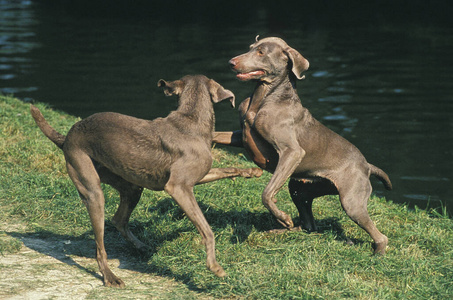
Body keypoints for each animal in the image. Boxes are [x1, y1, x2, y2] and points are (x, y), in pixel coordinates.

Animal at [30, 74, 262, 286]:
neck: (191, 121)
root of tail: (66, 137)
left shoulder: (198, 177)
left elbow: (228, 169)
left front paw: (252, 171)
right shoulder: (178, 187)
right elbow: (207, 230)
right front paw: (215, 267)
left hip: (131, 186)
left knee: (118, 219)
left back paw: (142, 247)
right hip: (91, 188)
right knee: (100, 246)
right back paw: (110, 277)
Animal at [214, 36, 390, 254]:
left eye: (261, 52)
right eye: (250, 48)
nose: (231, 62)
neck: (264, 97)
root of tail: (366, 166)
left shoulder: (292, 152)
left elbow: (267, 193)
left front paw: (282, 217)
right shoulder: (239, 136)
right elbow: (216, 135)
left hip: (351, 201)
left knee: (378, 234)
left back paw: (378, 253)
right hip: (300, 188)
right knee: (309, 225)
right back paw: (282, 230)